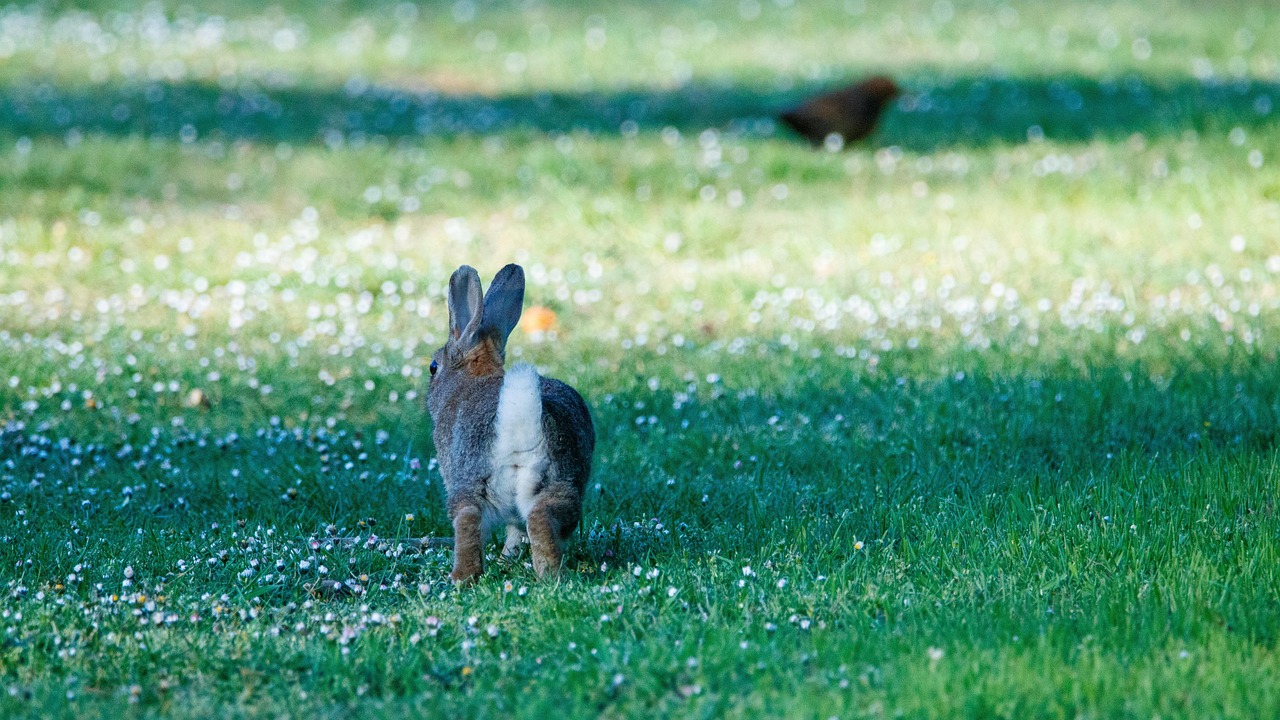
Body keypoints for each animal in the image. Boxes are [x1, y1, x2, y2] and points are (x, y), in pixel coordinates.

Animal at [426, 264, 595, 584]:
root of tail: (519, 430)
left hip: (469, 484)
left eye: (433, 367)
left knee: (468, 520)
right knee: (538, 520)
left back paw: (460, 578)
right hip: (557, 485)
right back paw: (549, 576)